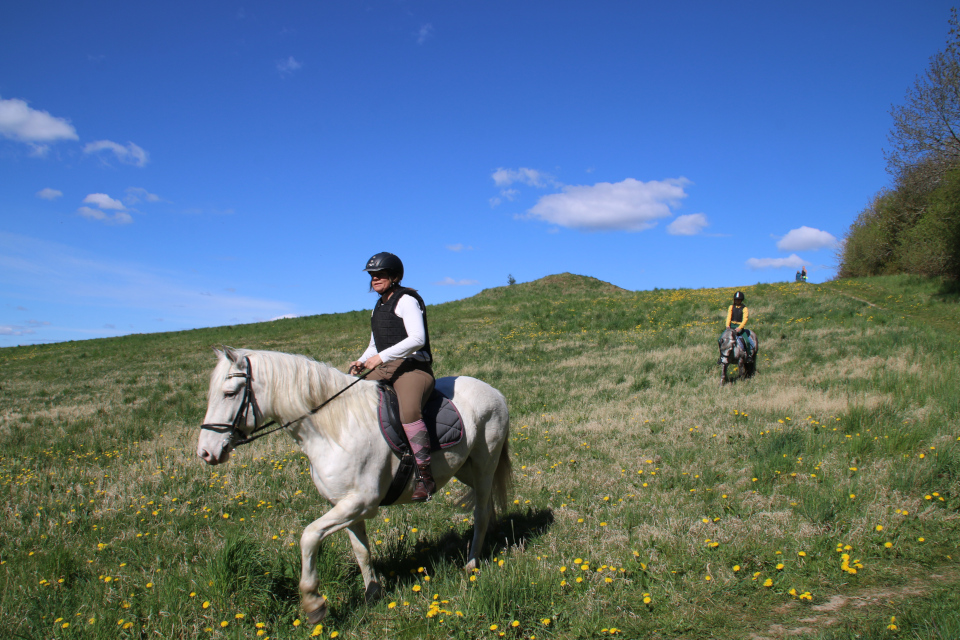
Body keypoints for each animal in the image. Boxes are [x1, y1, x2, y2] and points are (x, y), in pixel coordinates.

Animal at [192, 348, 512, 624]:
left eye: (230, 393)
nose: (205, 452)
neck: (333, 428)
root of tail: (495, 392)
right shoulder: (344, 505)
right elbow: (361, 550)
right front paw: (372, 593)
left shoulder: (361, 503)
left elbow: (309, 537)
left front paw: (313, 602)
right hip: (465, 469)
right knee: (485, 504)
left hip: (484, 464)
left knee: (481, 513)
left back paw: (471, 565)